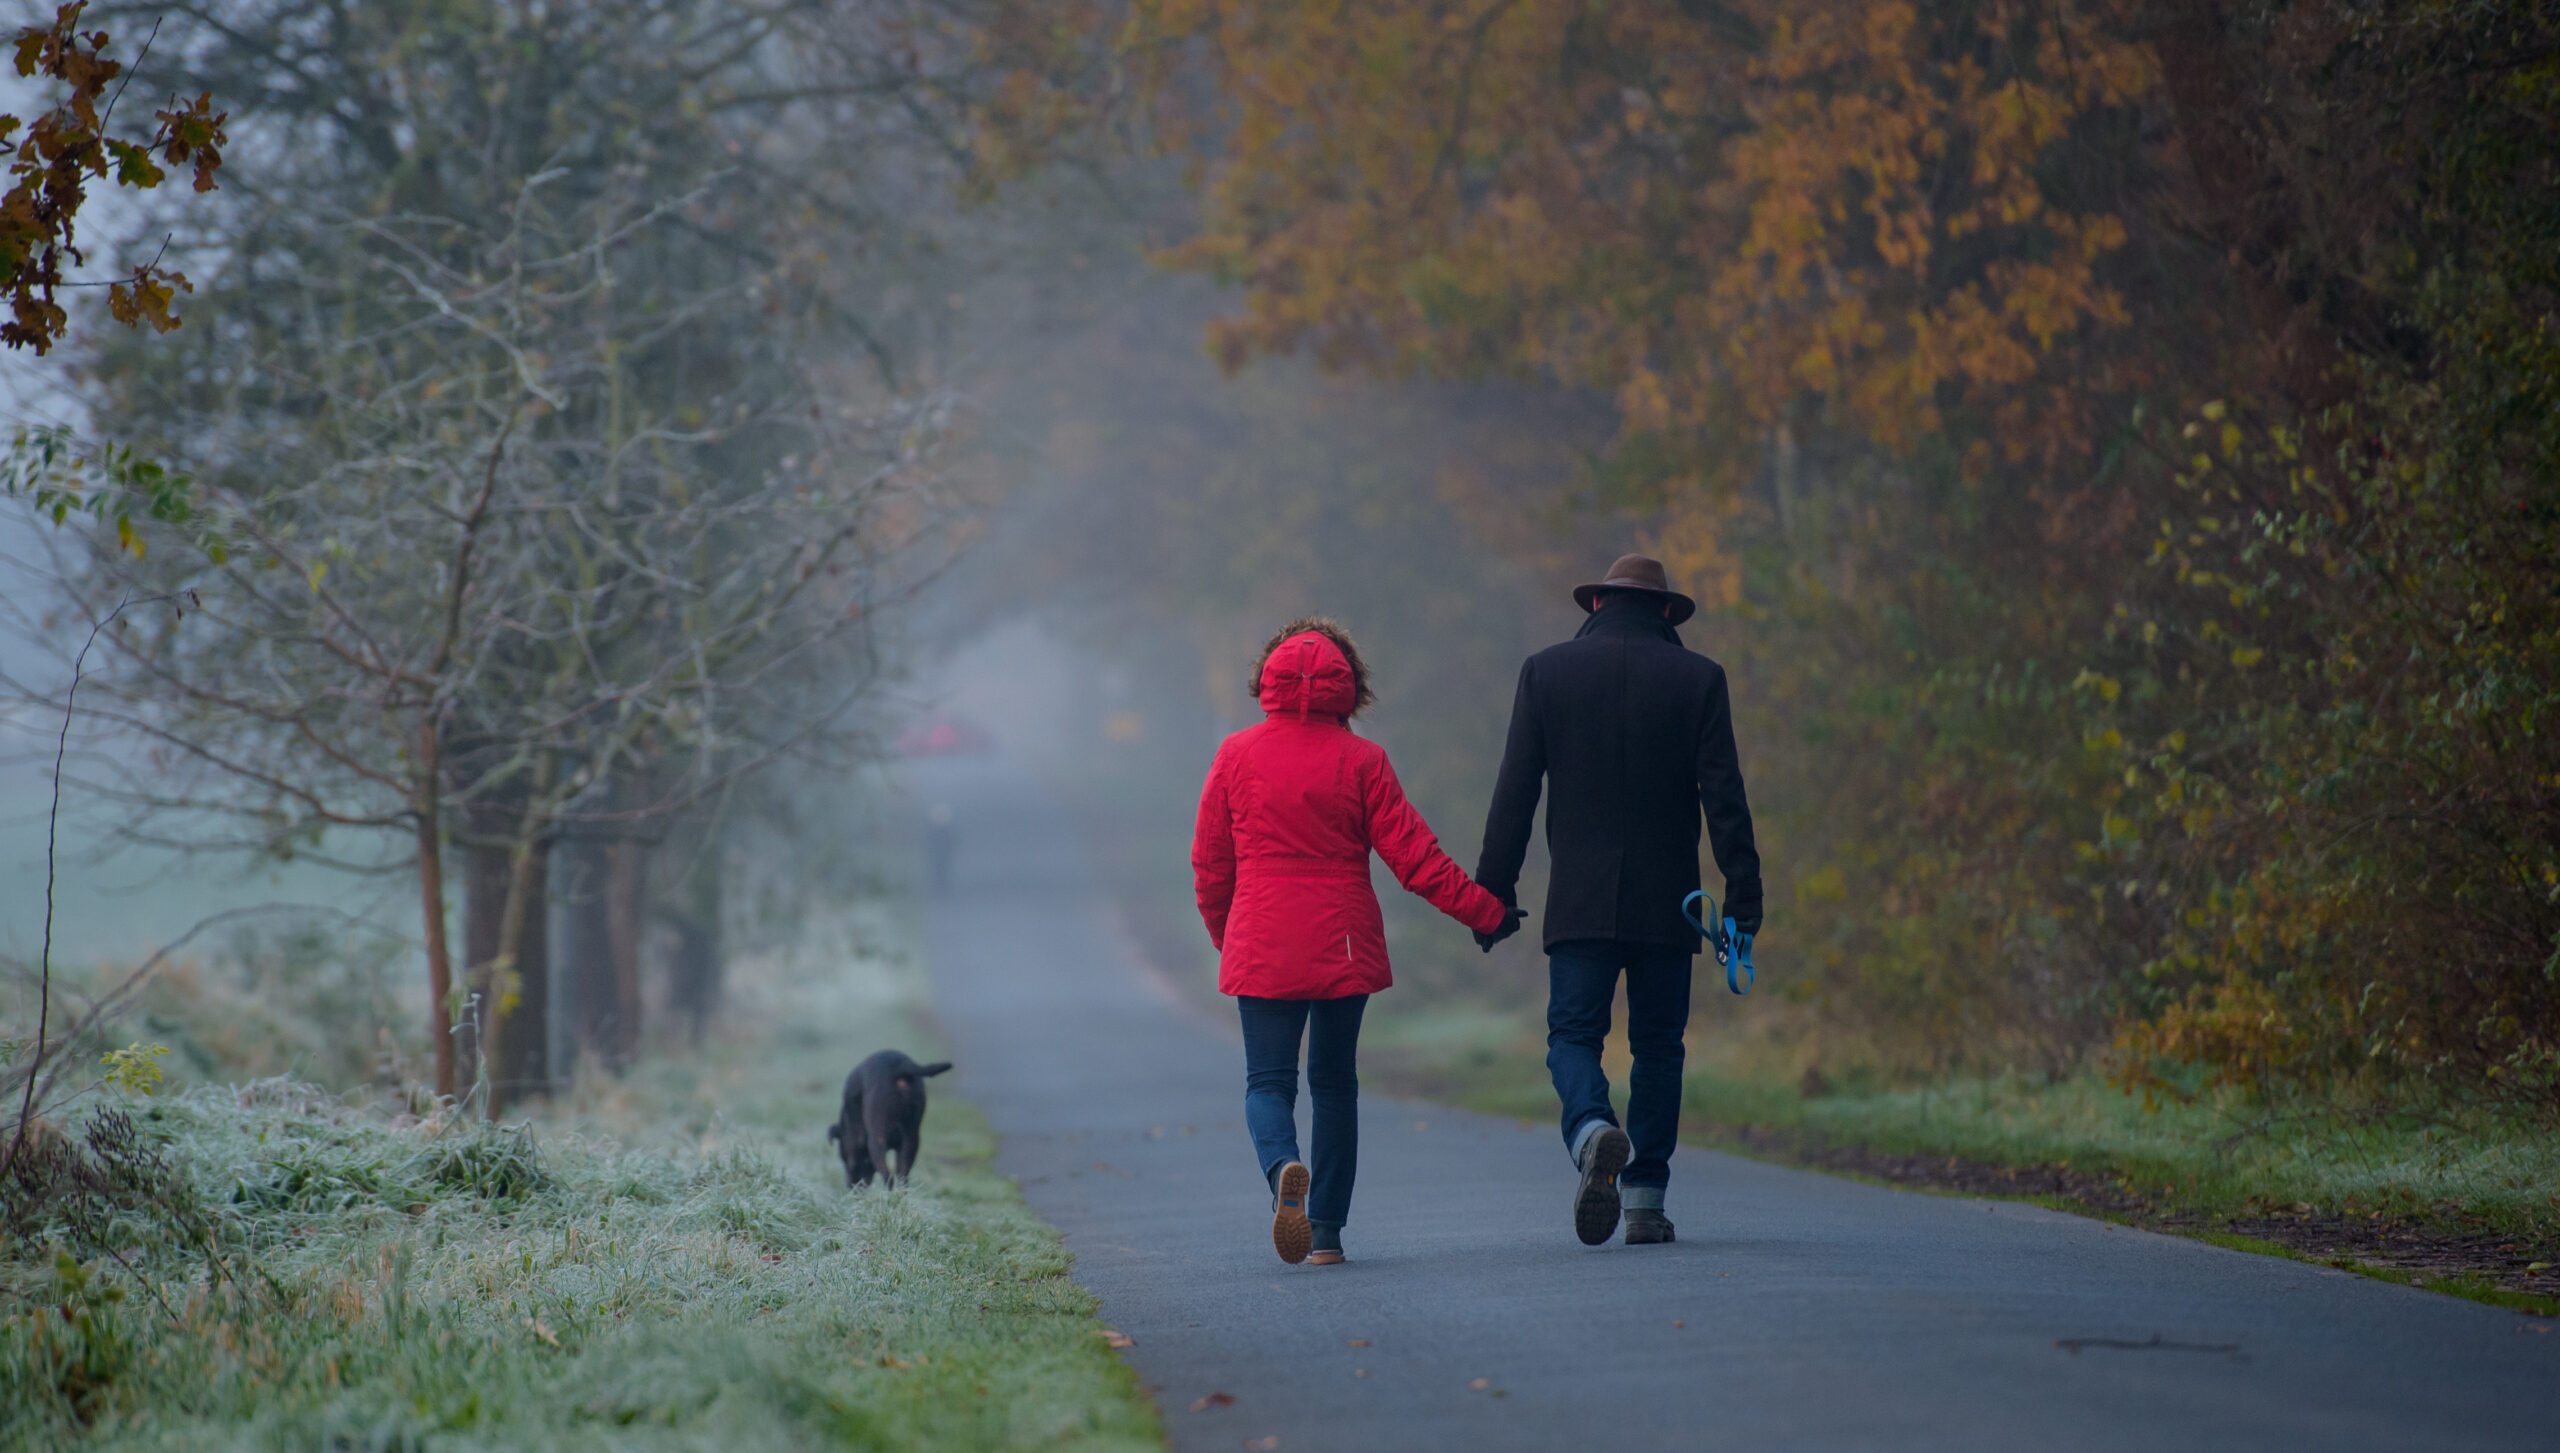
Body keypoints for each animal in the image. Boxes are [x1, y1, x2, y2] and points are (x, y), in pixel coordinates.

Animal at [834, 1048, 957, 1186]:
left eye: (843, 1158)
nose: (850, 1186)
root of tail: (900, 1066)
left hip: (877, 1139)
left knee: (887, 1175)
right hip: (911, 1139)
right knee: (902, 1176)